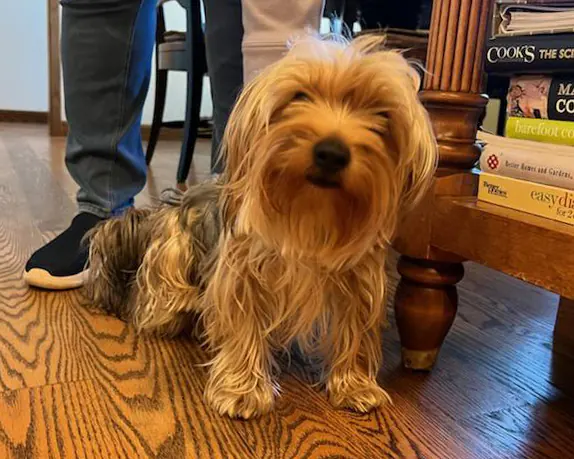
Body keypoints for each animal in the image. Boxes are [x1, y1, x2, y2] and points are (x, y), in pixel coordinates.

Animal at [86, 34, 436, 418]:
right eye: (300, 97)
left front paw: (354, 385)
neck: (311, 212)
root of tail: (168, 206)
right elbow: (242, 324)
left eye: (381, 115)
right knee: (160, 303)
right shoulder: (241, 272)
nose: (332, 152)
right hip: (173, 258)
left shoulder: (359, 280)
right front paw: (242, 390)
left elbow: (355, 330)